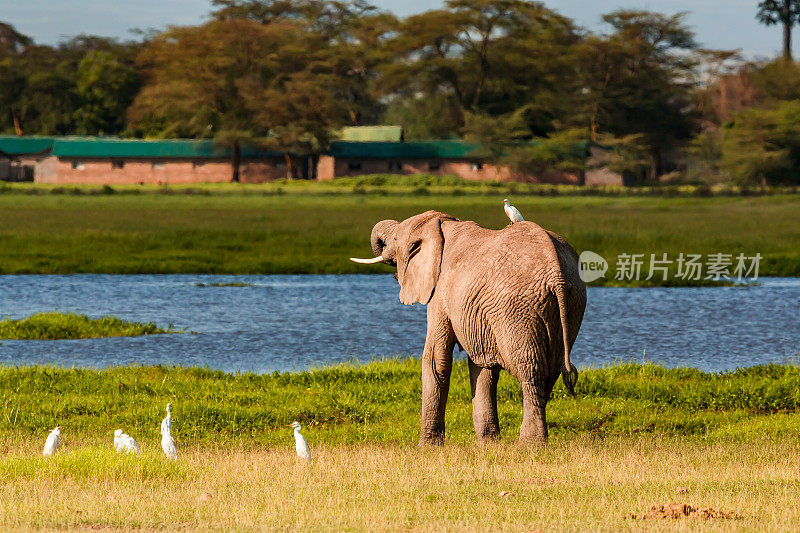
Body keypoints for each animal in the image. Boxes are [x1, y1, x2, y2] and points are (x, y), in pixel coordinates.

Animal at [354, 210, 584, 442]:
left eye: (395, 239)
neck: (440, 224)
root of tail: (556, 276)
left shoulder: (440, 291)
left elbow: (435, 359)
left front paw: (427, 446)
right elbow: (482, 364)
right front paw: (489, 443)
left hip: (518, 309)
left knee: (530, 369)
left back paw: (529, 445)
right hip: (571, 304)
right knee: (551, 369)